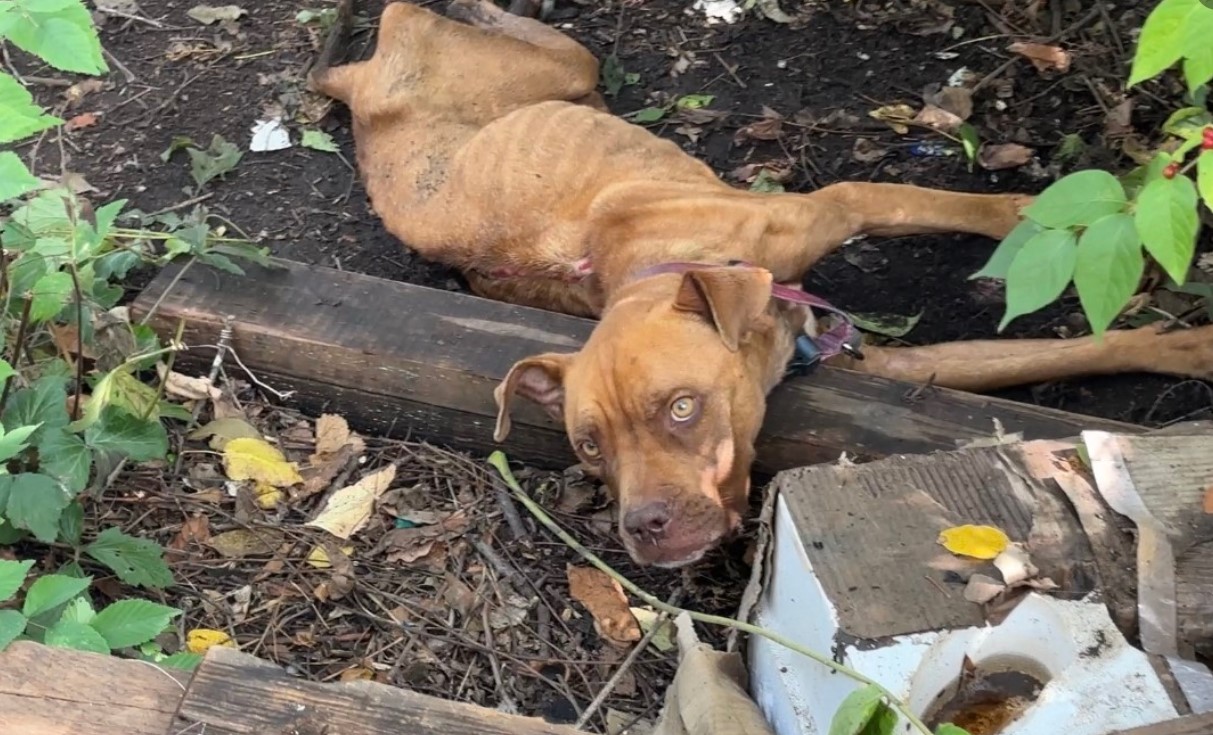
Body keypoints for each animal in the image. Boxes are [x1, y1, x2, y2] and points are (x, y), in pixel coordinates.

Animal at [310, 0, 1213, 570]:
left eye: (681, 406)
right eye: (588, 445)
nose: (643, 524)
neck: (646, 267)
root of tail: (357, 84)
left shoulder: (846, 222)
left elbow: (976, 230)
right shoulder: (864, 327)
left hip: (558, 61)